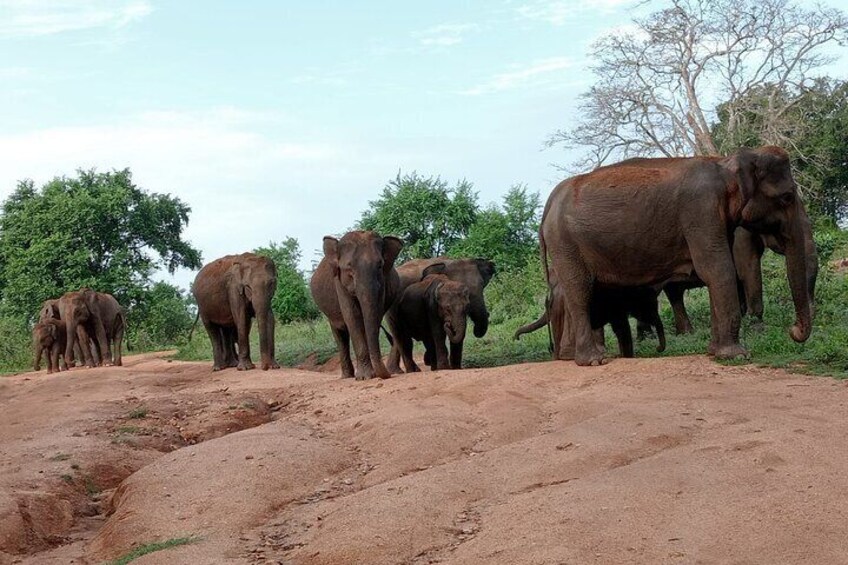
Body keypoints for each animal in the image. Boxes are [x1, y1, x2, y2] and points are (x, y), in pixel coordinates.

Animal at [312, 229, 404, 378]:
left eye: (380, 265)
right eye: (349, 267)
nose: (387, 374)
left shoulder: (383, 284)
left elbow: (375, 314)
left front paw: (369, 375)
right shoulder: (340, 284)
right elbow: (352, 316)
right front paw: (365, 377)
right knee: (340, 334)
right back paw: (347, 376)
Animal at [544, 147, 816, 366]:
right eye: (787, 197)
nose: (793, 331)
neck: (726, 163)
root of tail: (550, 201)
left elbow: (717, 271)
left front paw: (714, 352)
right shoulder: (700, 211)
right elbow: (718, 269)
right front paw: (738, 355)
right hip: (565, 244)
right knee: (580, 292)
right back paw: (592, 361)